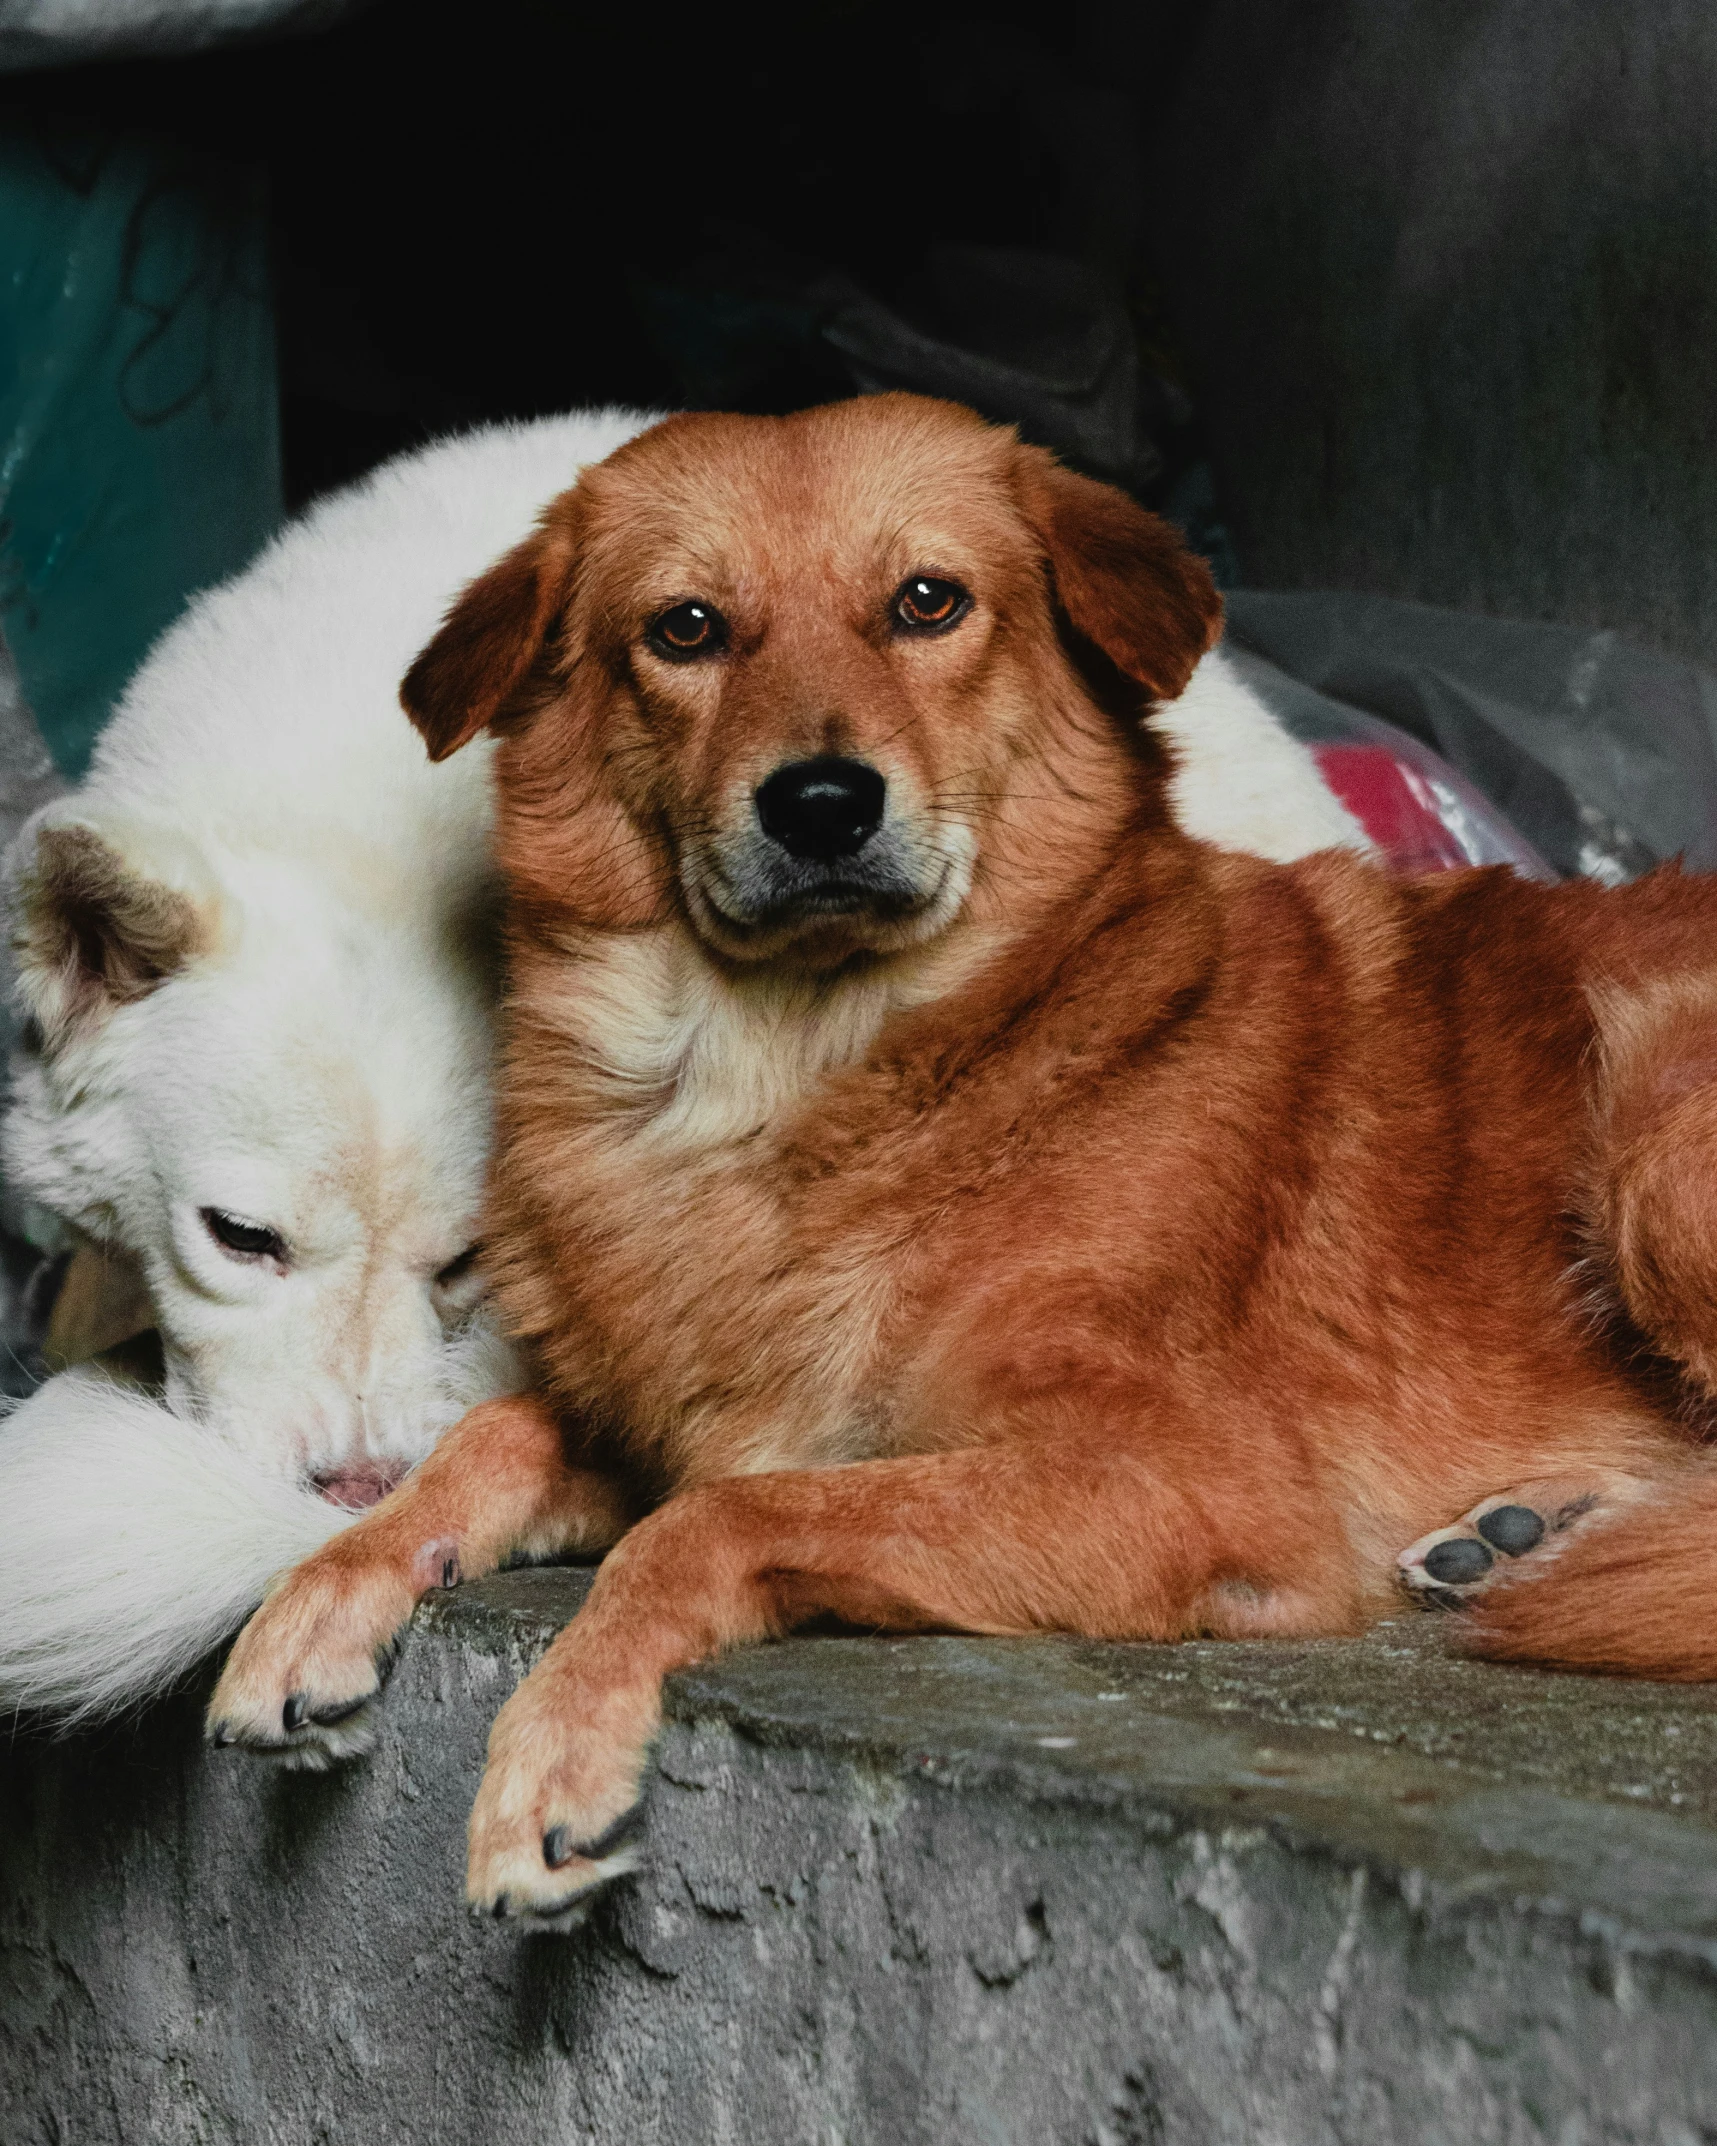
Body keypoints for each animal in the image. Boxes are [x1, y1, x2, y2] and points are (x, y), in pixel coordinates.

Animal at [208, 394, 1717, 1922]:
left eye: (927, 601)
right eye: (686, 628)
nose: (820, 802)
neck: (799, 1077)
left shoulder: (1183, 1480)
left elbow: (710, 1519)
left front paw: (559, 1747)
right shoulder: (681, 1416)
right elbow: (496, 1433)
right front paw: (326, 1587)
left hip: (1653, 1122)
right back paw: (1523, 1532)